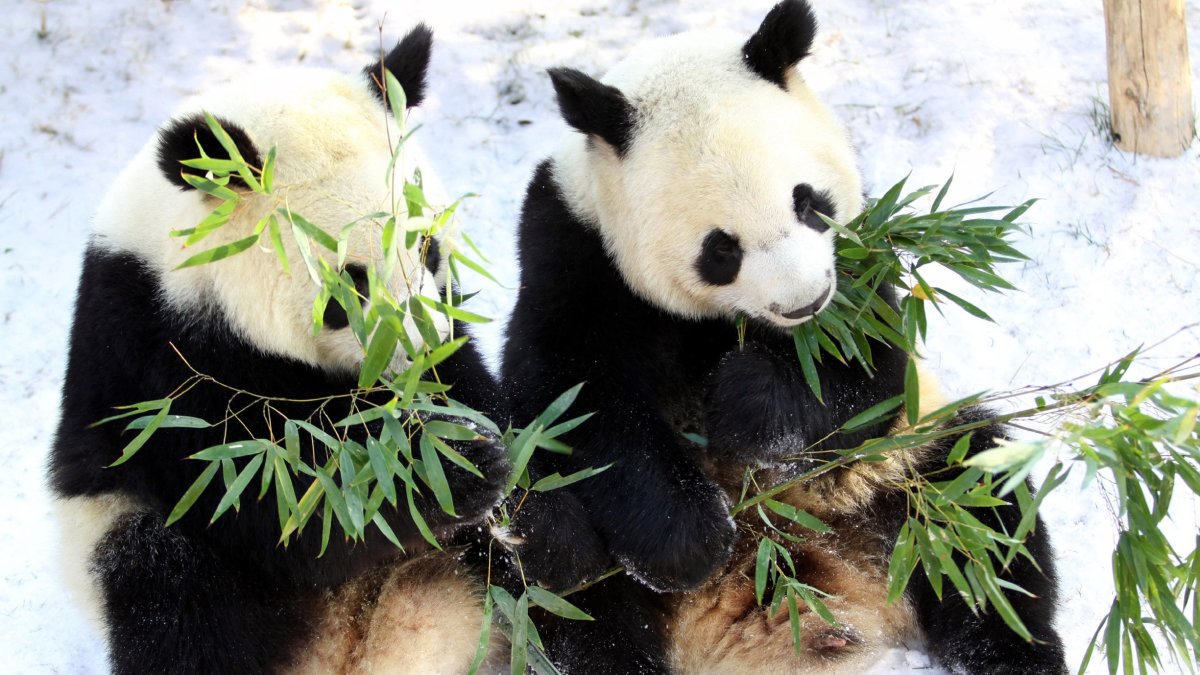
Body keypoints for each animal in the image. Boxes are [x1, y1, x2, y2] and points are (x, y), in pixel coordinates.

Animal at [49, 25, 510, 674]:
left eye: (427, 247)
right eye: (349, 284)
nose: (418, 363)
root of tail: (355, 644)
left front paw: (471, 439)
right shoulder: (159, 358)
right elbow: (278, 506)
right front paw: (449, 464)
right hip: (112, 527)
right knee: (173, 592)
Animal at [499, 2, 1068, 674]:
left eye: (808, 202)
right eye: (721, 249)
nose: (806, 302)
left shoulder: (863, 259)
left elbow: (868, 371)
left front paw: (746, 405)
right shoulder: (571, 251)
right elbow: (571, 398)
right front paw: (689, 540)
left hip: (906, 466)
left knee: (983, 516)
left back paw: (1013, 651)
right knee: (562, 584)